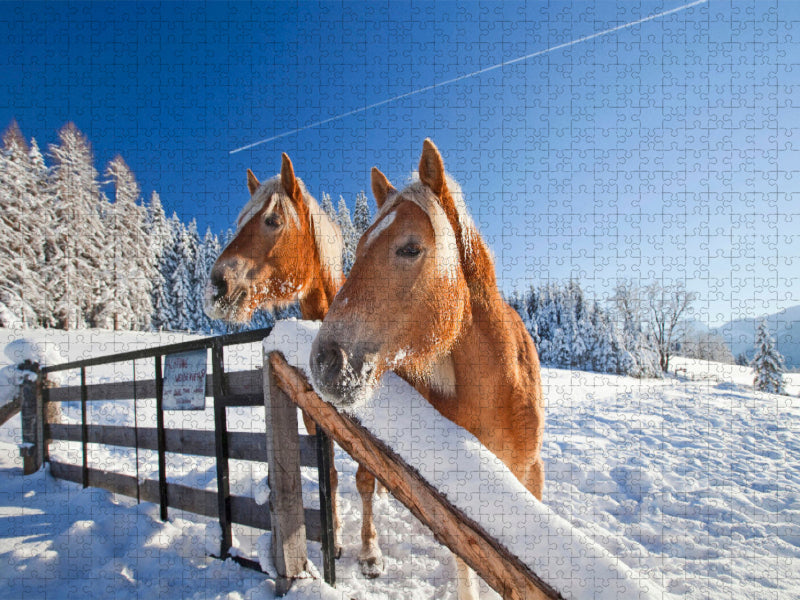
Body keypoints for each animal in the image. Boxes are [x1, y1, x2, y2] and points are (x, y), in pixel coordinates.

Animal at [204, 153, 386, 576]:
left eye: (272, 220)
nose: (217, 286)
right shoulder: (314, 418)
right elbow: (329, 477)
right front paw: (336, 536)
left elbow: (365, 479)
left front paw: (370, 551)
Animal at [310, 139, 545, 599]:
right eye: (358, 249)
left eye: (410, 248)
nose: (325, 359)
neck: (498, 393)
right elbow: (466, 571)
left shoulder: (531, 477)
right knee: (361, 482)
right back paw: (368, 553)